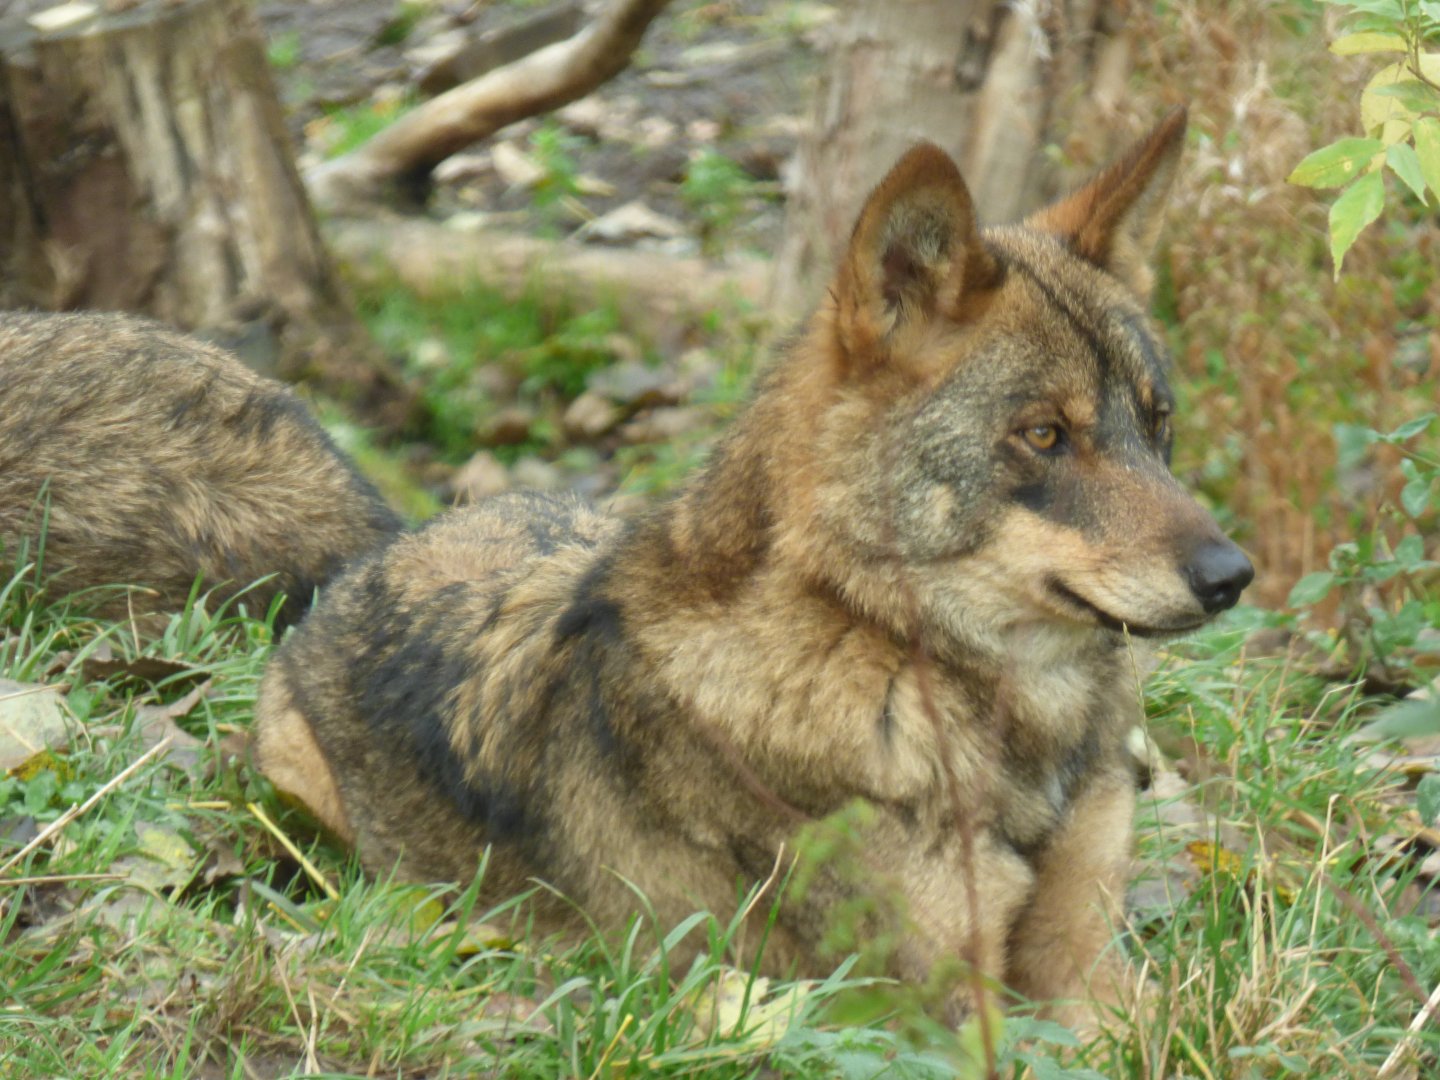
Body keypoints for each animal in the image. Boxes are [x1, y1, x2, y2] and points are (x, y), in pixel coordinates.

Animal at [256, 107, 1253, 1018]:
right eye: (1045, 435)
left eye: (1156, 424)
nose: (1232, 576)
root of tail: (386, 546)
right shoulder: (929, 1005)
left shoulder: (1087, 962)